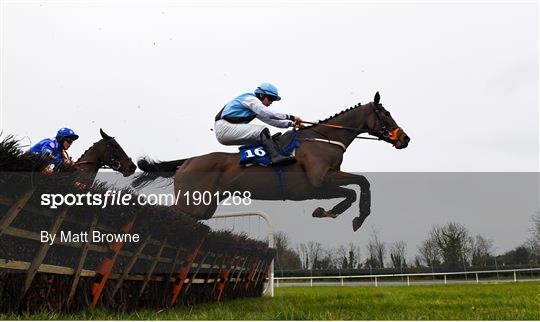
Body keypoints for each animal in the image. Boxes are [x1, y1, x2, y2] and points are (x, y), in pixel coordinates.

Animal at [134, 93, 410, 231]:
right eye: (386, 114)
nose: (405, 139)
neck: (325, 139)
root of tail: (187, 162)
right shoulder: (319, 181)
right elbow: (361, 183)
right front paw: (354, 217)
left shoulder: (318, 188)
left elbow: (355, 189)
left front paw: (329, 212)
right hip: (194, 203)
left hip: (203, 206)